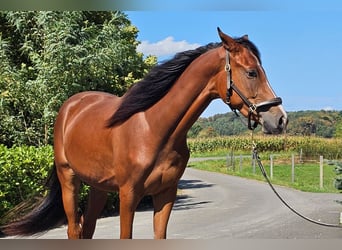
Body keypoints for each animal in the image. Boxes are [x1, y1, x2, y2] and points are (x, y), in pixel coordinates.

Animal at [1, 28, 288, 239]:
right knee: (74, 229)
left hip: (98, 187)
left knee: (88, 228)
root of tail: (70, 107)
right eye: (251, 72)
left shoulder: (165, 193)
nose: (280, 119)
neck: (155, 130)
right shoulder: (129, 195)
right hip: (69, 179)